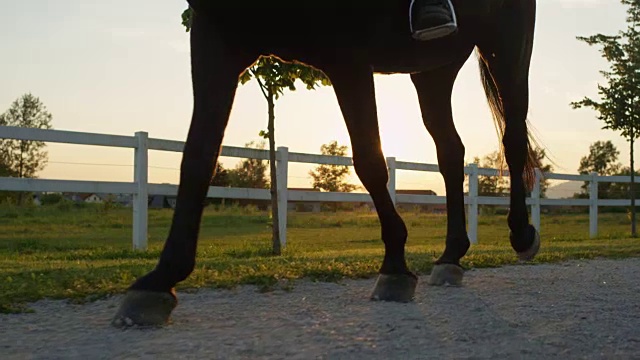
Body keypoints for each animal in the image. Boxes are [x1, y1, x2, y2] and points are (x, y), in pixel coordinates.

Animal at [111, 0, 540, 326]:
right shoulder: (217, 38)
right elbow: (197, 157)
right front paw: (159, 279)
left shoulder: (347, 55)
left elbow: (369, 160)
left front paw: (394, 267)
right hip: (433, 66)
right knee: (450, 152)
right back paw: (451, 256)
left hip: (506, 43)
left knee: (512, 139)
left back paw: (521, 234)